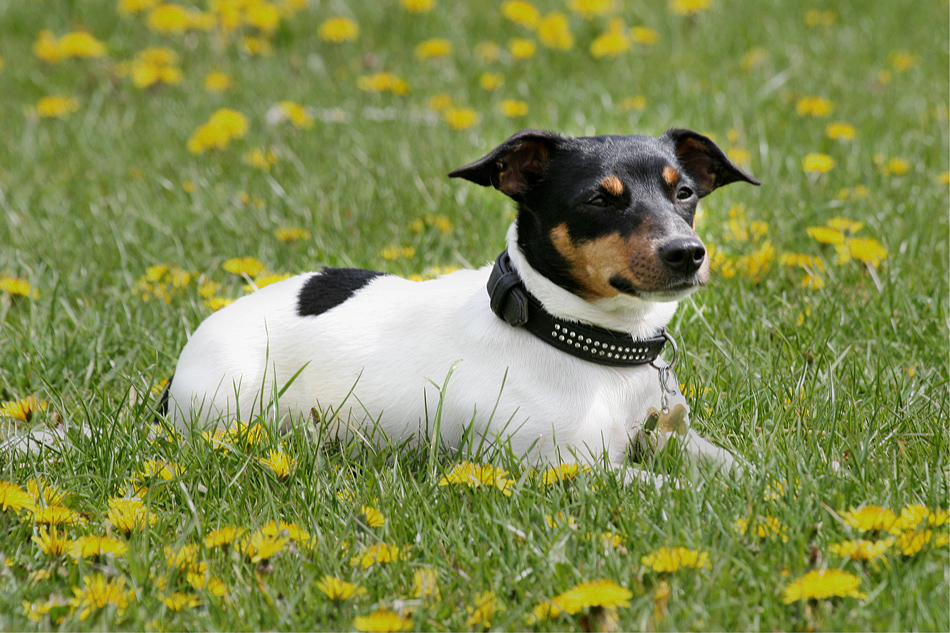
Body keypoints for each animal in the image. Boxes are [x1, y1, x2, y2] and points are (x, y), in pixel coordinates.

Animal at [164, 128, 760, 484]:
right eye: (598, 199)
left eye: (684, 193)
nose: (687, 252)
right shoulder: (561, 467)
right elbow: (664, 484)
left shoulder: (672, 438)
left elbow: (735, 468)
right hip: (230, 404)